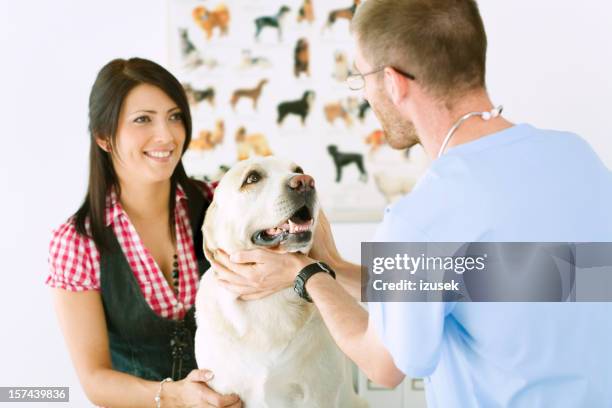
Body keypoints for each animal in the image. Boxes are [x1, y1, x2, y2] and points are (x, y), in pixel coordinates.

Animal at [196, 156, 368, 408]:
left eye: (298, 170)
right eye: (252, 178)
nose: (305, 182)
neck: (269, 302)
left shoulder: (318, 394)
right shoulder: (222, 393)